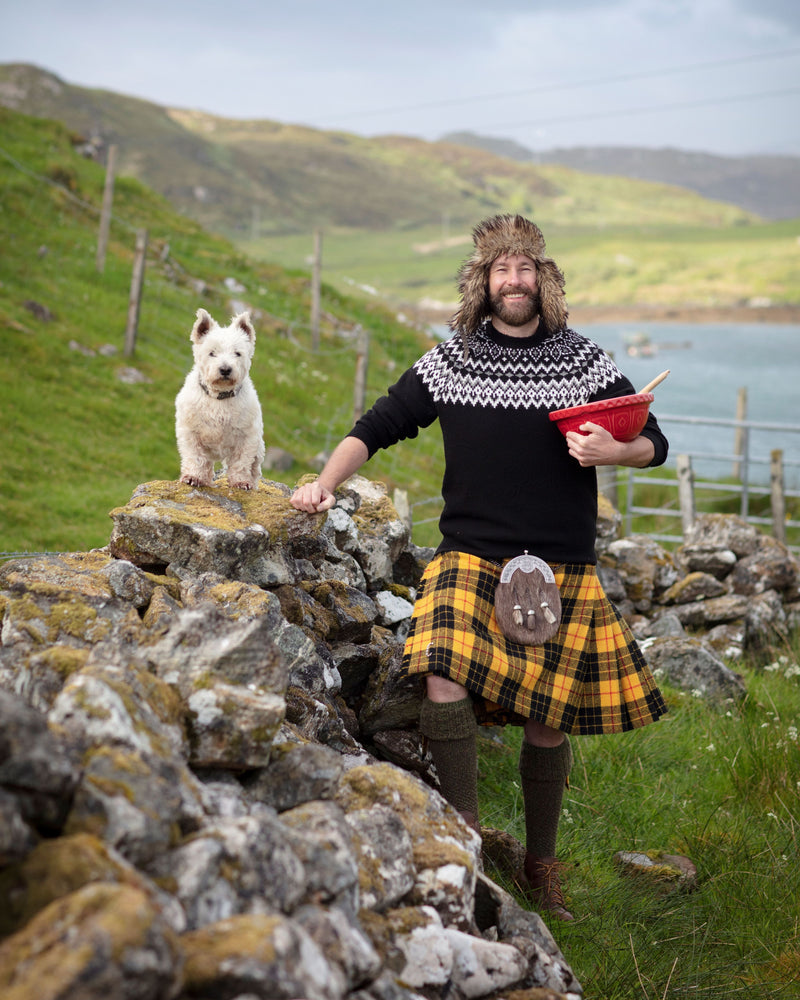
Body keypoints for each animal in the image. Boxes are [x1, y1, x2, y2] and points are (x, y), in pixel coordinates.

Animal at [175, 306, 266, 490]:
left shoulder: (247, 436)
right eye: (212, 353)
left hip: (259, 448)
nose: (225, 369)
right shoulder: (190, 431)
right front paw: (193, 477)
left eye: (237, 353)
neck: (219, 397)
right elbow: (195, 456)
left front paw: (240, 482)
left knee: (254, 469)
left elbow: (241, 461)